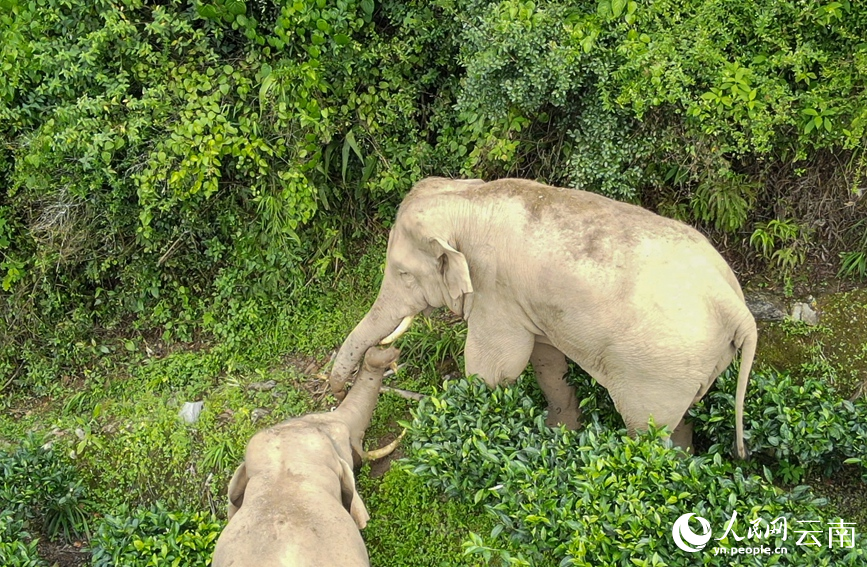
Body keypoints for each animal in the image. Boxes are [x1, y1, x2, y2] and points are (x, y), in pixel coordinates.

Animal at [330, 177, 757, 458]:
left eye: (403, 274)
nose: (386, 357)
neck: (467, 195)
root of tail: (735, 303)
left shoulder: (494, 290)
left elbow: (493, 368)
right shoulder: (523, 301)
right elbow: (545, 358)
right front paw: (560, 433)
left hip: (659, 371)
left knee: (646, 431)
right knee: (682, 418)